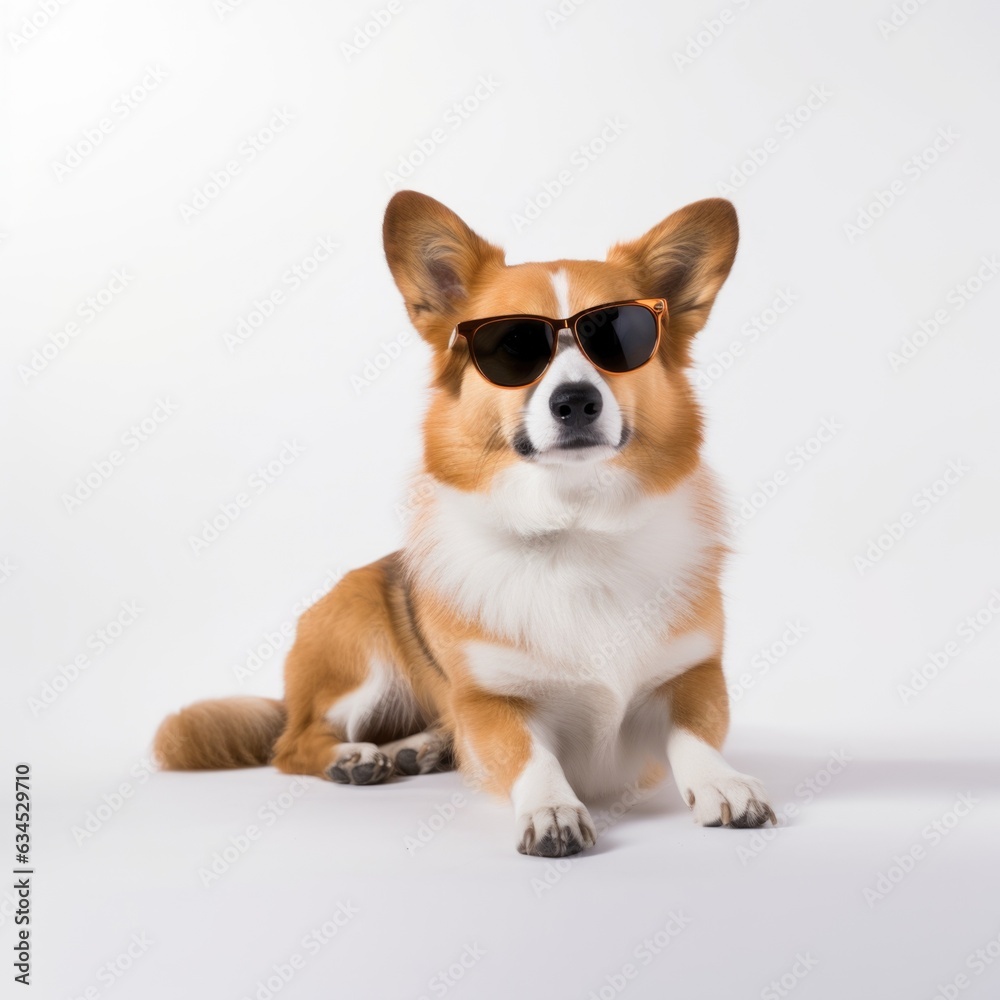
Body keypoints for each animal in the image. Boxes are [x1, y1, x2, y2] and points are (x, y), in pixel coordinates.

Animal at [158, 191, 780, 856]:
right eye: (511, 348)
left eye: (618, 339)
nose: (576, 402)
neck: (574, 522)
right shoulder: (490, 699)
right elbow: (529, 754)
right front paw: (552, 809)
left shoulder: (694, 675)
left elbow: (695, 735)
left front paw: (724, 783)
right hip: (360, 649)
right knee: (293, 743)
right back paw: (353, 757)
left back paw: (421, 749)